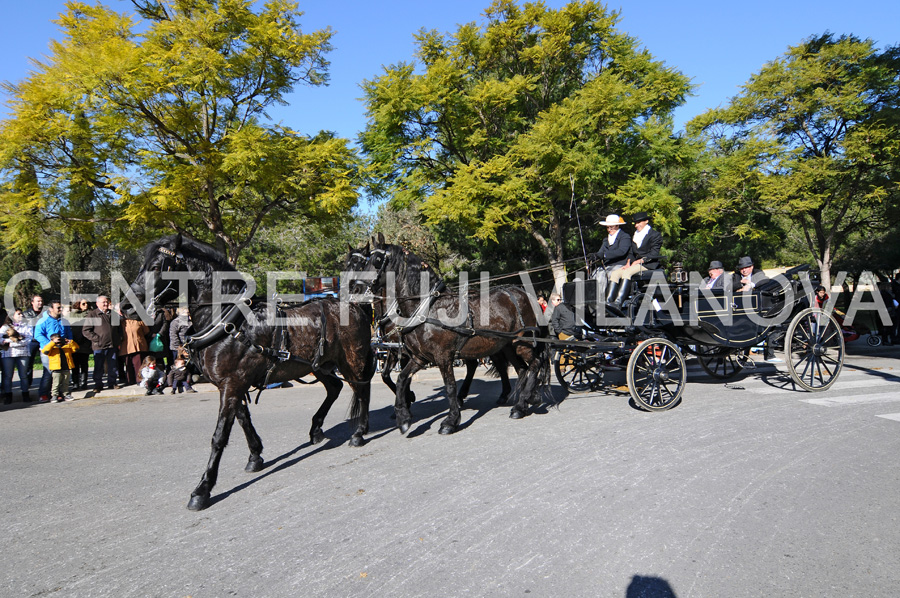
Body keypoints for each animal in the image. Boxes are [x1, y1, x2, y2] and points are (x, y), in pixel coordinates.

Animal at [120, 234, 372, 510]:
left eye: (156, 266)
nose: (125, 307)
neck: (228, 321)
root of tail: (356, 306)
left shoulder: (231, 384)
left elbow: (220, 435)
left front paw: (203, 489)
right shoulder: (232, 384)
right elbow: (243, 419)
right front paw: (255, 455)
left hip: (351, 360)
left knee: (362, 390)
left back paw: (359, 433)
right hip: (318, 365)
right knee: (335, 388)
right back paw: (317, 429)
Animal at [344, 234, 544, 436]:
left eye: (376, 260)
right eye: (348, 264)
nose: (355, 289)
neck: (426, 308)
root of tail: (522, 292)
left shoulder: (442, 356)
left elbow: (449, 386)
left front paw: (450, 421)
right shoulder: (418, 357)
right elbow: (401, 379)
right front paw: (403, 416)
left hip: (522, 342)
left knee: (534, 364)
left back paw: (523, 402)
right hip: (507, 345)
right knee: (521, 369)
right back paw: (522, 401)